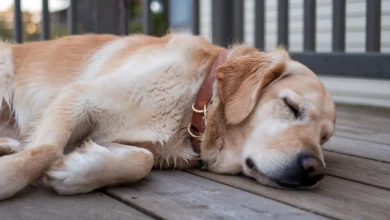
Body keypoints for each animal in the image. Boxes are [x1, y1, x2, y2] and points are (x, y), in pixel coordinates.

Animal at [0, 33, 336, 200]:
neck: (194, 101)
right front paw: (9, 175)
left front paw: (79, 171)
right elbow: (47, 150)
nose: (314, 171)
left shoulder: (118, 138)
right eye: (291, 106)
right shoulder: (77, 97)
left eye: (324, 138)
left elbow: (141, 160)